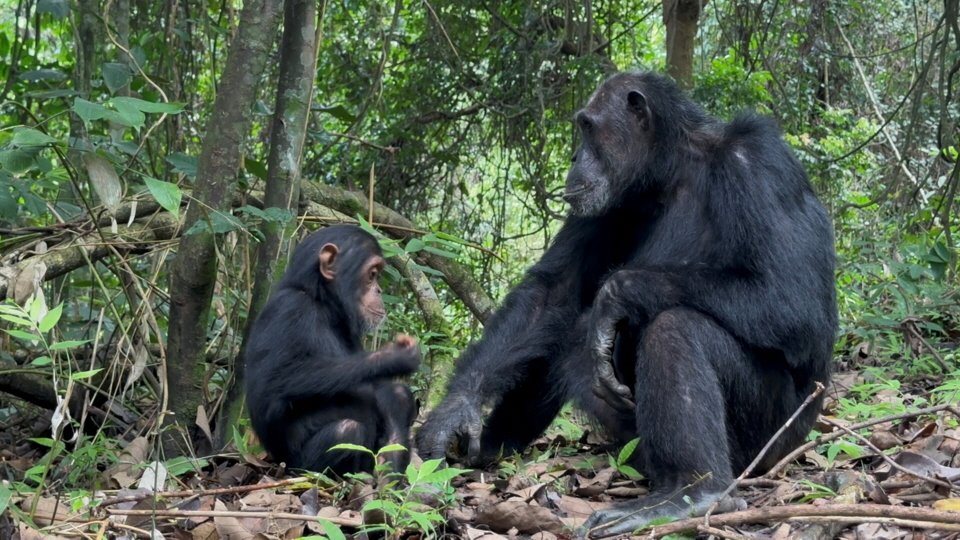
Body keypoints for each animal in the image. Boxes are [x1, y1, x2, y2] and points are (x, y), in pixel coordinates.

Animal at [246, 224, 418, 476]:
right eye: (372, 274)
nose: (378, 290)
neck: (323, 304)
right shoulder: (287, 309)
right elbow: (272, 382)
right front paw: (393, 357)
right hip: (297, 466)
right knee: (347, 430)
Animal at [416, 73, 836, 536]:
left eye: (587, 126)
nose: (575, 155)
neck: (670, 173)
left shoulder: (758, 163)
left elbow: (792, 302)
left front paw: (616, 293)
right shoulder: (602, 204)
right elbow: (554, 291)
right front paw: (455, 412)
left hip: (772, 437)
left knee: (676, 329)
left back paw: (690, 492)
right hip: (634, 439)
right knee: (561, 333)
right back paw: (489, 449)